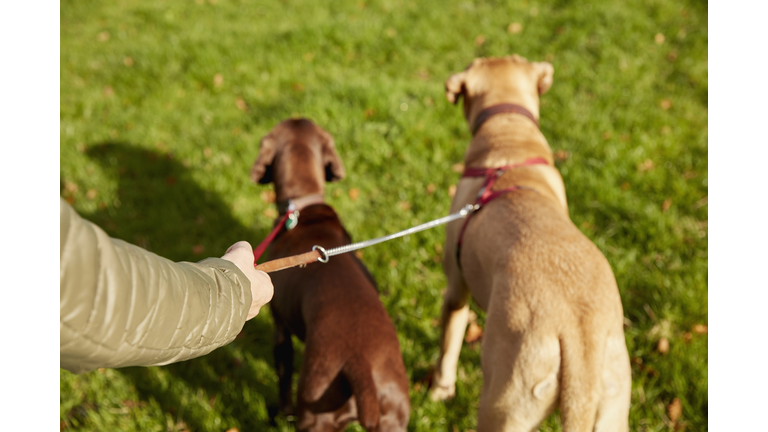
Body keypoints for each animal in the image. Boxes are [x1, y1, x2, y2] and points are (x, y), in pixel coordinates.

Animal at [250, 116, 408, 430]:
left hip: (315, 415)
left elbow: (283, 377)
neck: (305, 210)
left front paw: (281, 413)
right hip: (394, 417)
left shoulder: (280, 329)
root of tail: (359, 364)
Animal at [428, 55, 632, 430]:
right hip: (613, 405)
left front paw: (439, 390)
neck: (509, 140)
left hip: (504, 405)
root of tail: (579, 338)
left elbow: (448, 347)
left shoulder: (456, 289)